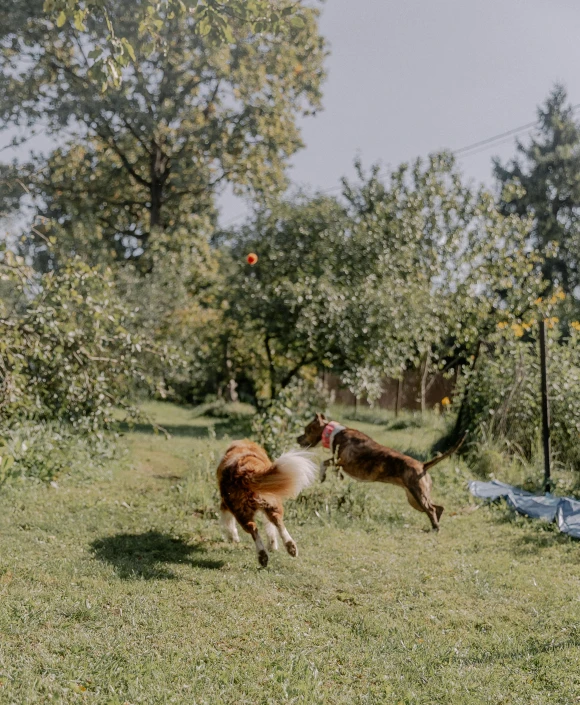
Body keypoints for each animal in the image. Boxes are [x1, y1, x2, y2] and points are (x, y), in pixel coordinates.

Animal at [218, 440, 318, 568]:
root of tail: (244, 471)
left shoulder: (225, 504)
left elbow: (228, 522)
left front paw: (232, 538)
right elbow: (270, 527)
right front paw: (272, 545)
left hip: (243, 510)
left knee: (255, 528)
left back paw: (264, 554)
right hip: (270, 503)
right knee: (275, 522)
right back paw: (286, 548)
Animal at [300, 412, 466, 528]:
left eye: (306, 430)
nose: (297, 438)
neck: (333, 432)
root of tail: (422, 465)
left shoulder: (342, 461)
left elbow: (325, 463)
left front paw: (322, 476)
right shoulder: (340, 463)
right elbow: (334, 469)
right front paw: (335, 477)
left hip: (417, 494)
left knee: (431, 509)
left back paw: (435, 528)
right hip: (414, 498)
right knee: (437, 507)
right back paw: (435, 524)